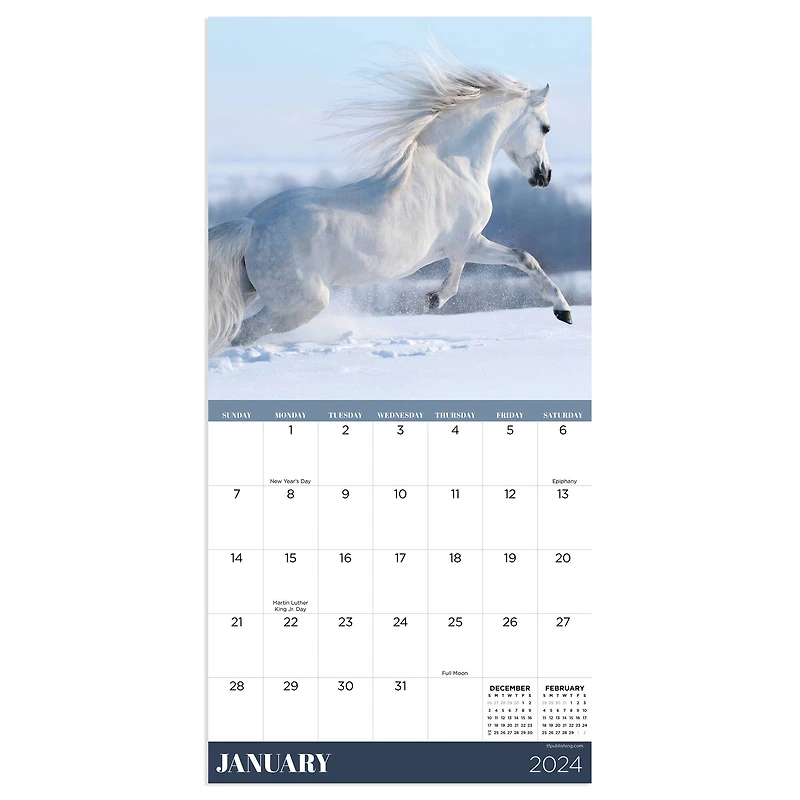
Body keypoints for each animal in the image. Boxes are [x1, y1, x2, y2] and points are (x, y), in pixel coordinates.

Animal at [208, 54, 573, 356]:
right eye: (546, 128)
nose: (544, 176)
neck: (453, 165)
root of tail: (253, 226)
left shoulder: (460, 244)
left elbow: (458, 272)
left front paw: (435, 298)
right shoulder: (468, 242)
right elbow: (524, 258)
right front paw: (563, 310)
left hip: (250, 291)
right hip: (300, 304)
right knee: (242, 333)